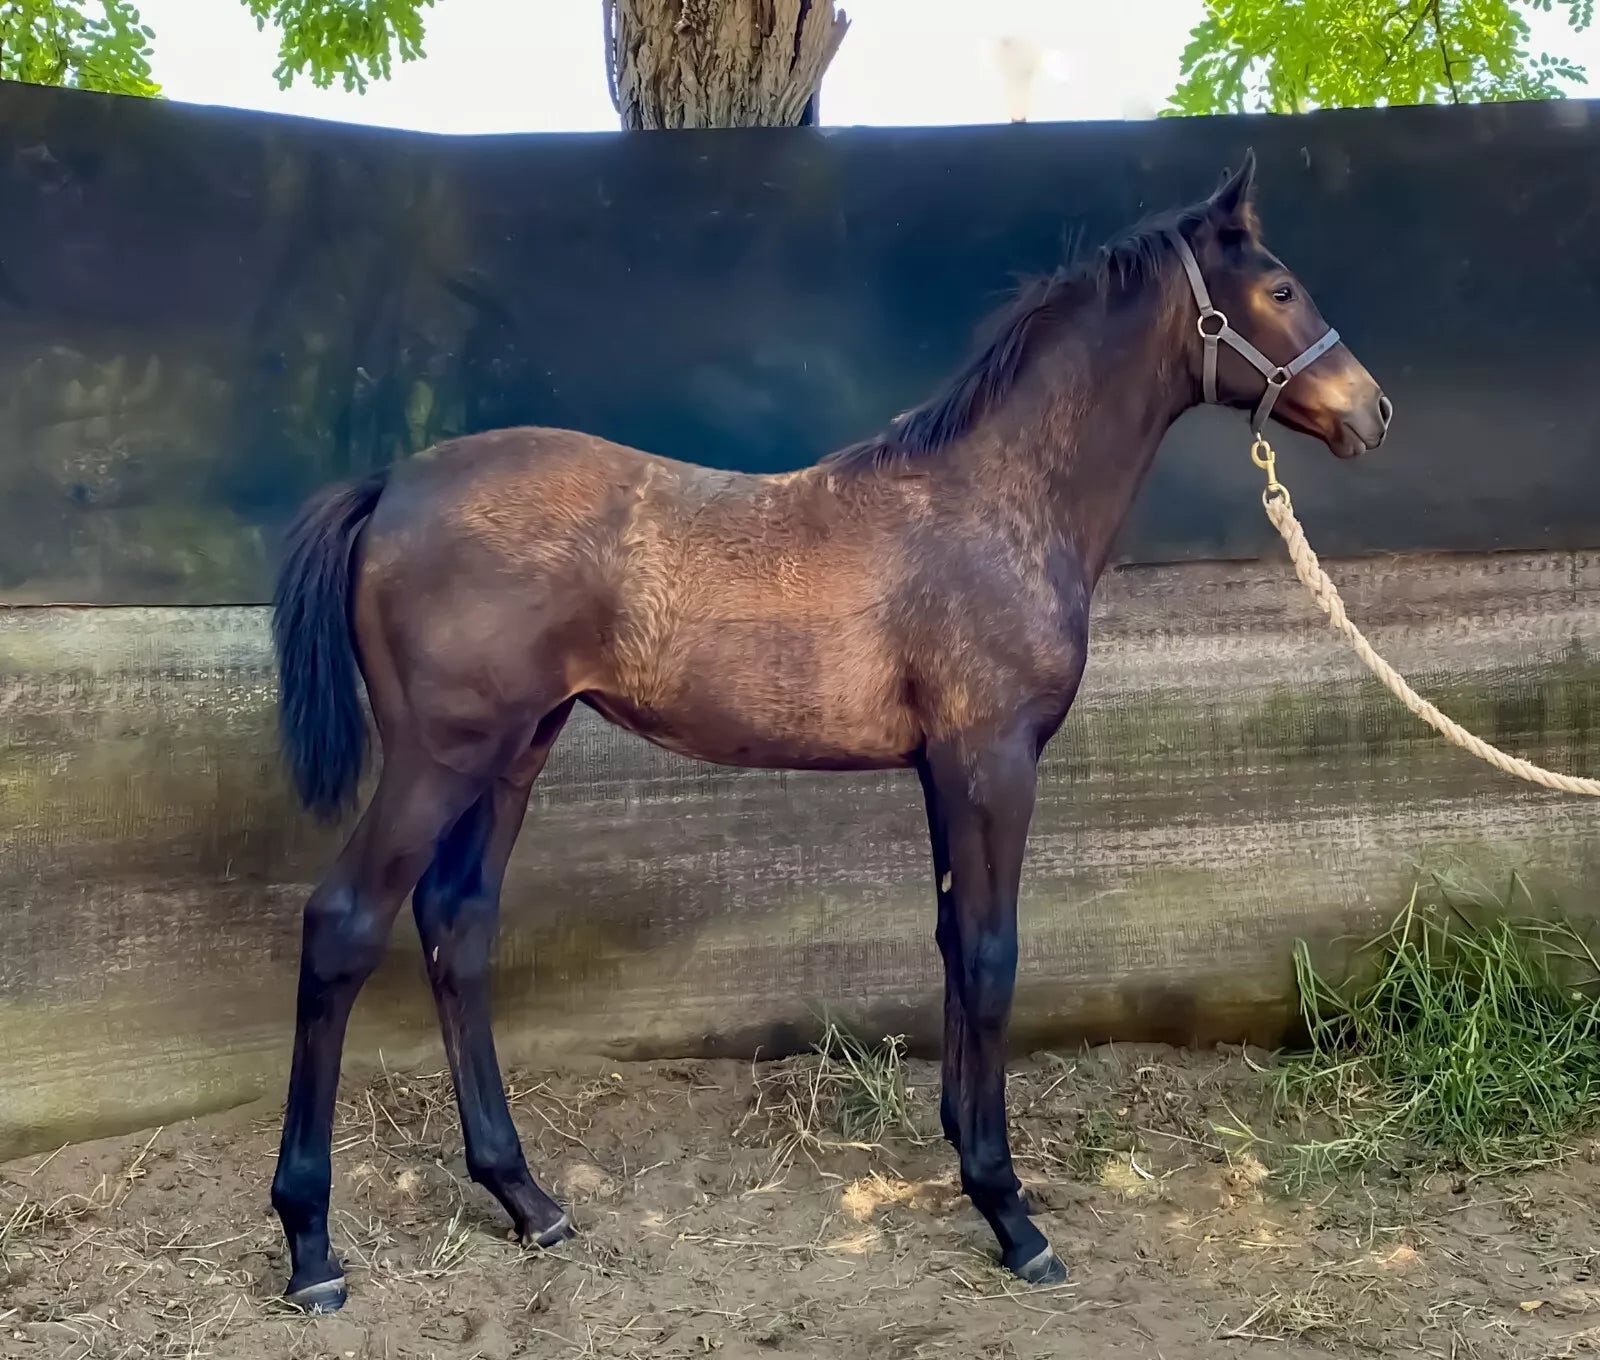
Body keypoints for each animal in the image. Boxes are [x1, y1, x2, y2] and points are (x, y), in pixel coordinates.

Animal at [266, 149, 1391, 1310]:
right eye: (1281, 288)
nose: (1374, 410)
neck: (994, 501)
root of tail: (391, 485)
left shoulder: (944, 770)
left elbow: (952, 943)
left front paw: (970, 1158)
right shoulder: (993, 760)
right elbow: (993, 954)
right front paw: (1010, 1213)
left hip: (514, 754)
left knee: (458, 924)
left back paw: (528, 1199)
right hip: (439, 758)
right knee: (345, 924)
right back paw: (312, 1249)